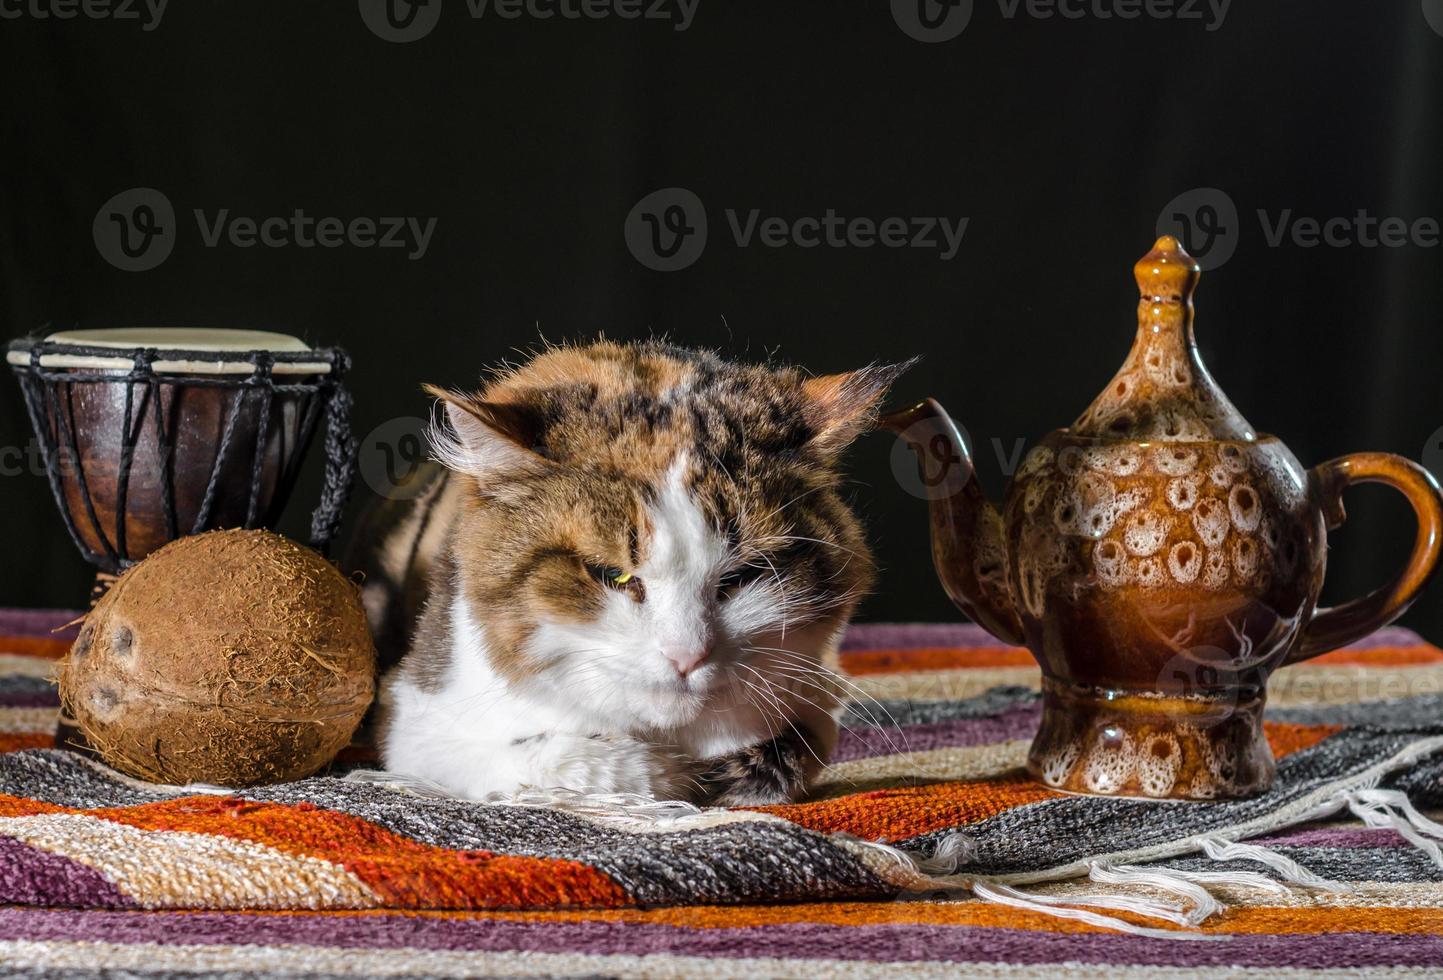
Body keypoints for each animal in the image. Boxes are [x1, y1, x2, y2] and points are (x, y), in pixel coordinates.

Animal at [360, 339, 900, 802]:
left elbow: (793, 749)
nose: (687, 657)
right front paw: (668, 774)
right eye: (612, 576)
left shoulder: (813, 698)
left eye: (742, 577)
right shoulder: (416, 724)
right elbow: (581, 763)